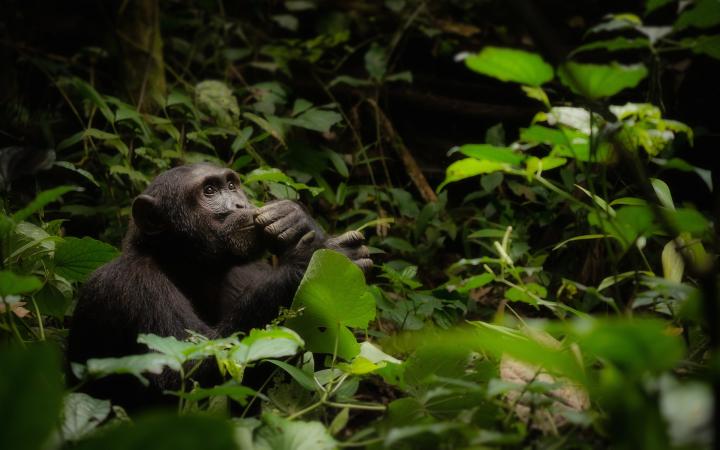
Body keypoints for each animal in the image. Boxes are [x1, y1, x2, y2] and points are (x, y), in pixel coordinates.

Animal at [65, 163, 372, 410]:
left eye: (232, 185)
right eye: (210, 190)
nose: (240, 204)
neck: (190, 267)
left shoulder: (250, 272)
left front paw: (295, 218)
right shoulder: (131, 285)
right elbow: (185, 370)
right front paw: (314, 259)